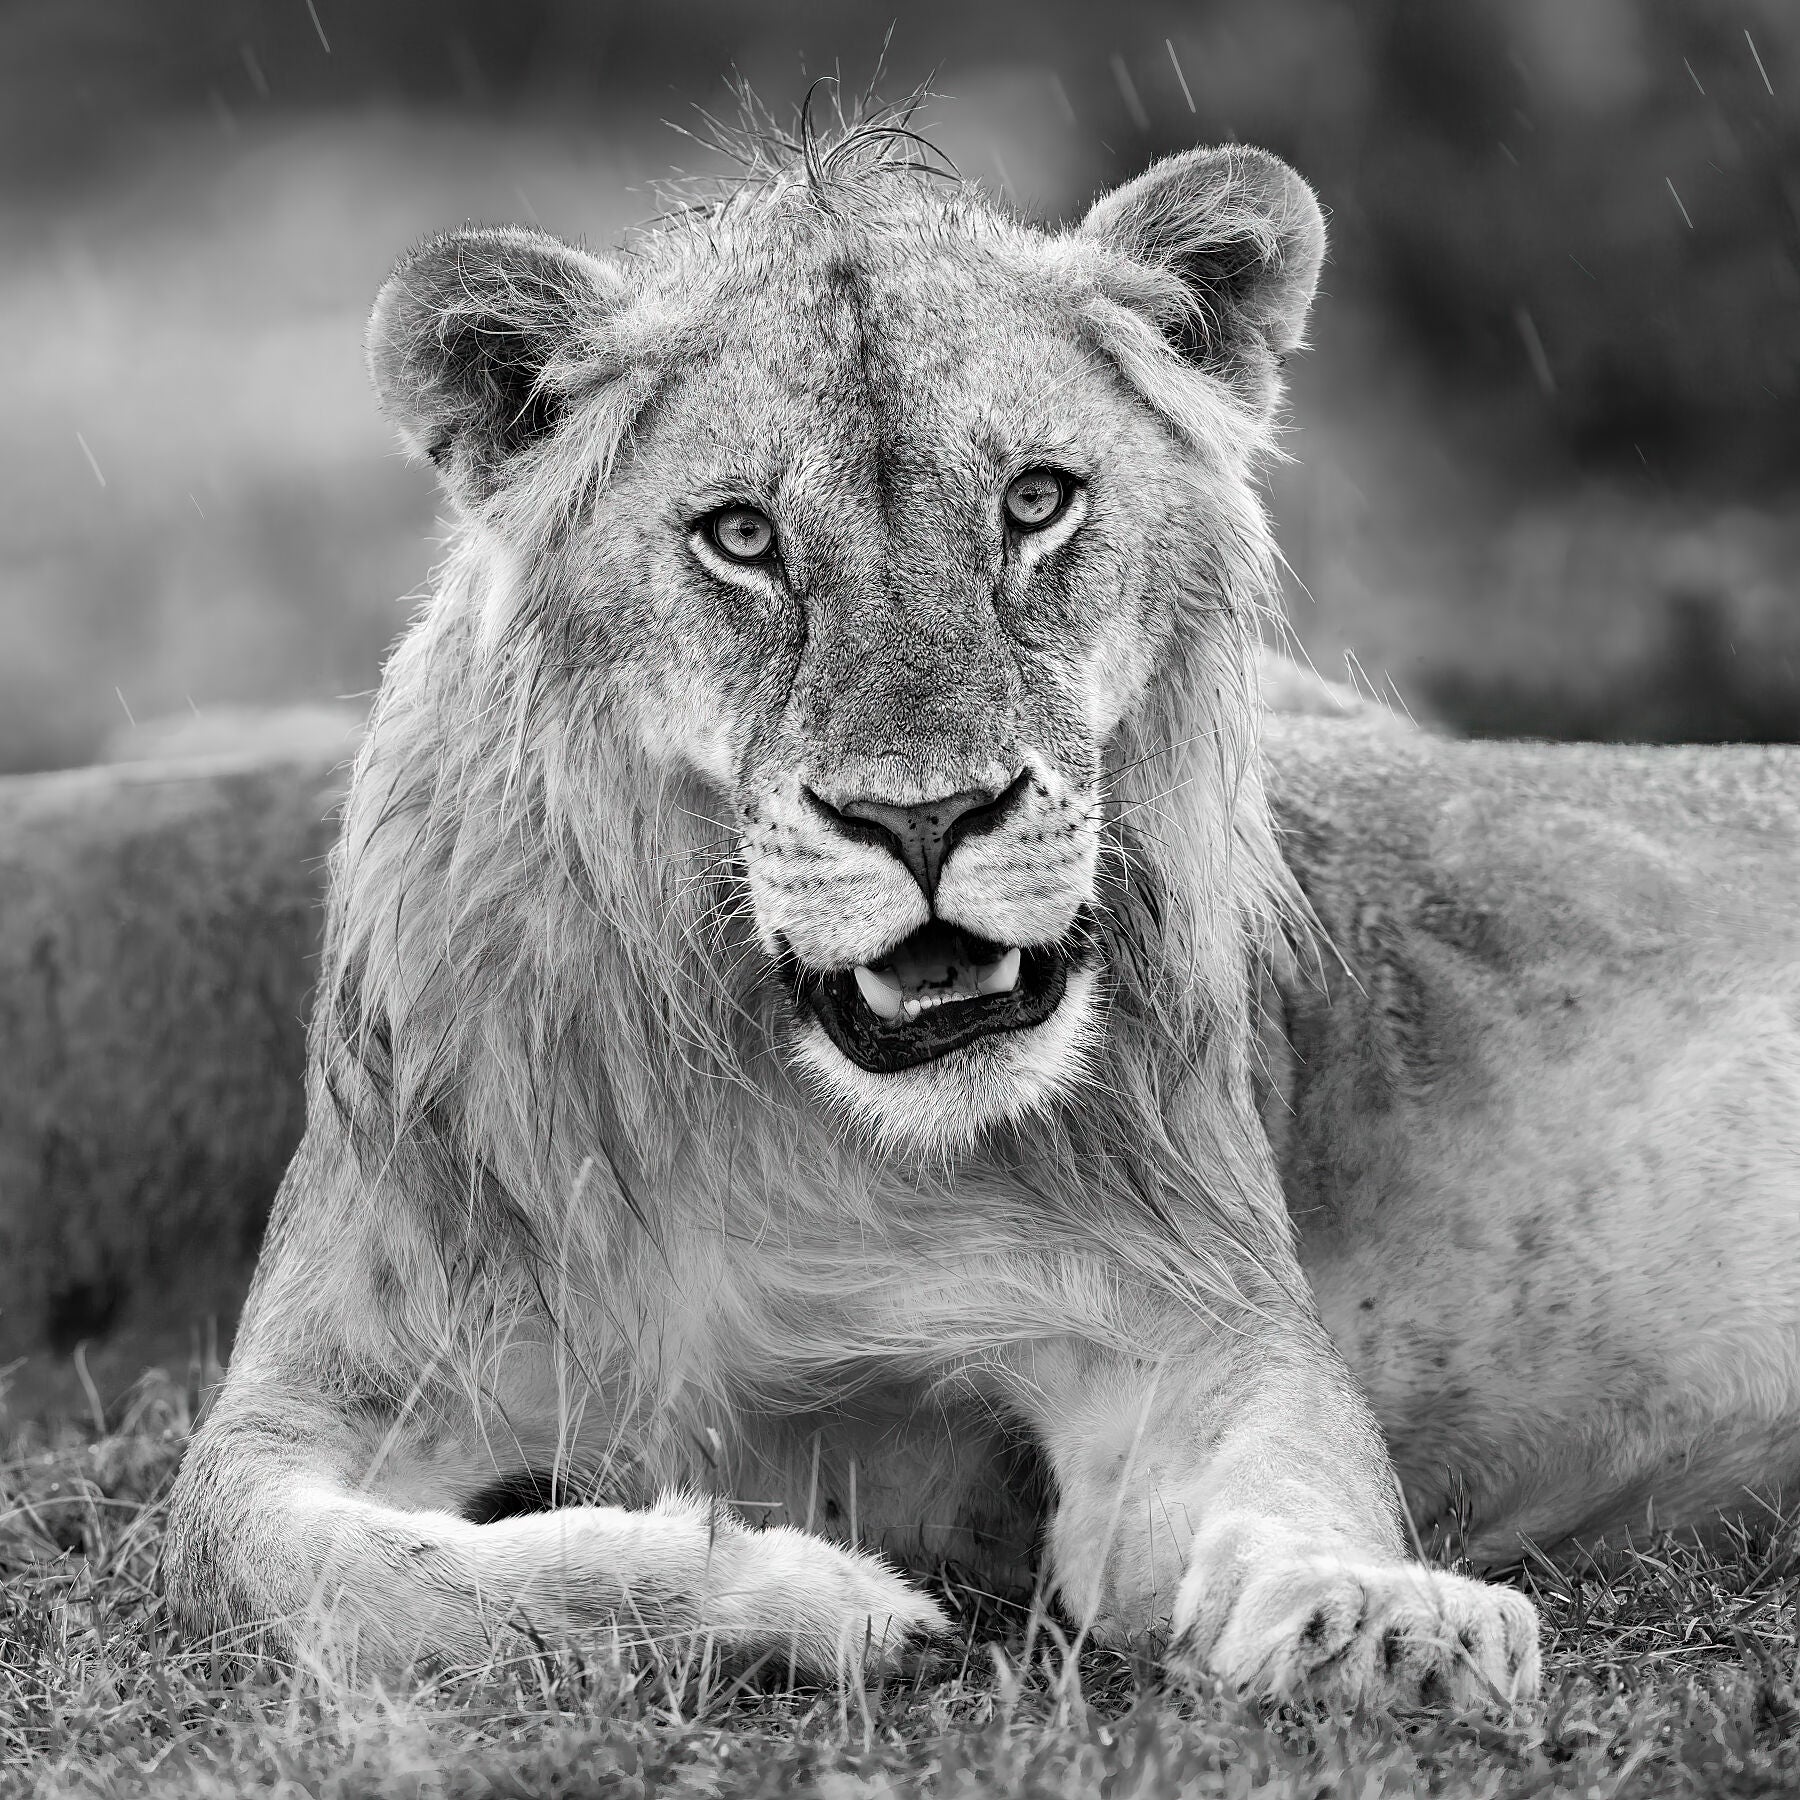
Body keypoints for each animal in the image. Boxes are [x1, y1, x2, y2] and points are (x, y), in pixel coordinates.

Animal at [164, 129, 1539, 1707]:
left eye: (1036, 500)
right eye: (742, 536)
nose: (928, 819)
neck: (780, 1106)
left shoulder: (1177, 1317)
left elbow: (1298, 1467)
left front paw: (1379, 1620)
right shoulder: (303, 1398)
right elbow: (340, 1576)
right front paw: (810, 1595)